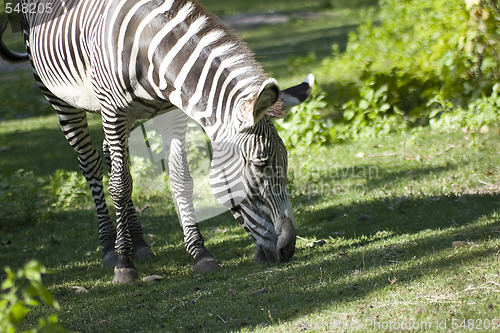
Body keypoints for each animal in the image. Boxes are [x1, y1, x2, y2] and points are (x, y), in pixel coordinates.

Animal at [0, 0, 312, 282]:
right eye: (260, 165)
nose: (288, 250)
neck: (149, 51)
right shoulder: (113, 111)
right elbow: (119, 186)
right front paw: (123, 265)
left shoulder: (169, 113)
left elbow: (180, 180)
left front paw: (200, 253)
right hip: (59, 99)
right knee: (91, 165)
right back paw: (110, 248)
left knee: (112, 158)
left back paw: (138, 243)